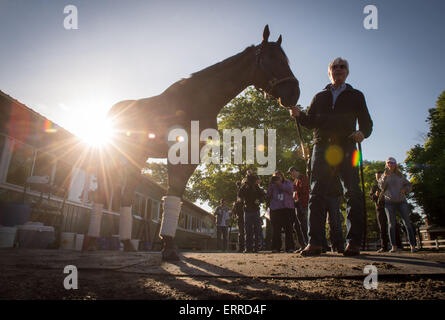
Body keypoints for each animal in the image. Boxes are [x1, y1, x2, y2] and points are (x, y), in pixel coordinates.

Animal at [85, 25, 300, 260]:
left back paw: (127, 243)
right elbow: (173, 192)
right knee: (101, 192)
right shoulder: (178, 152)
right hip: (112, 156)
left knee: (126, 195)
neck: (197, 101)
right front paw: (168, 246)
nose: (294, 94)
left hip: (137, 157)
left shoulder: (193, 155)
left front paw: (168, 244)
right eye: (270, 58)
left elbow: (176, 194)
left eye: (286, 60)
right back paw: (92, 241)